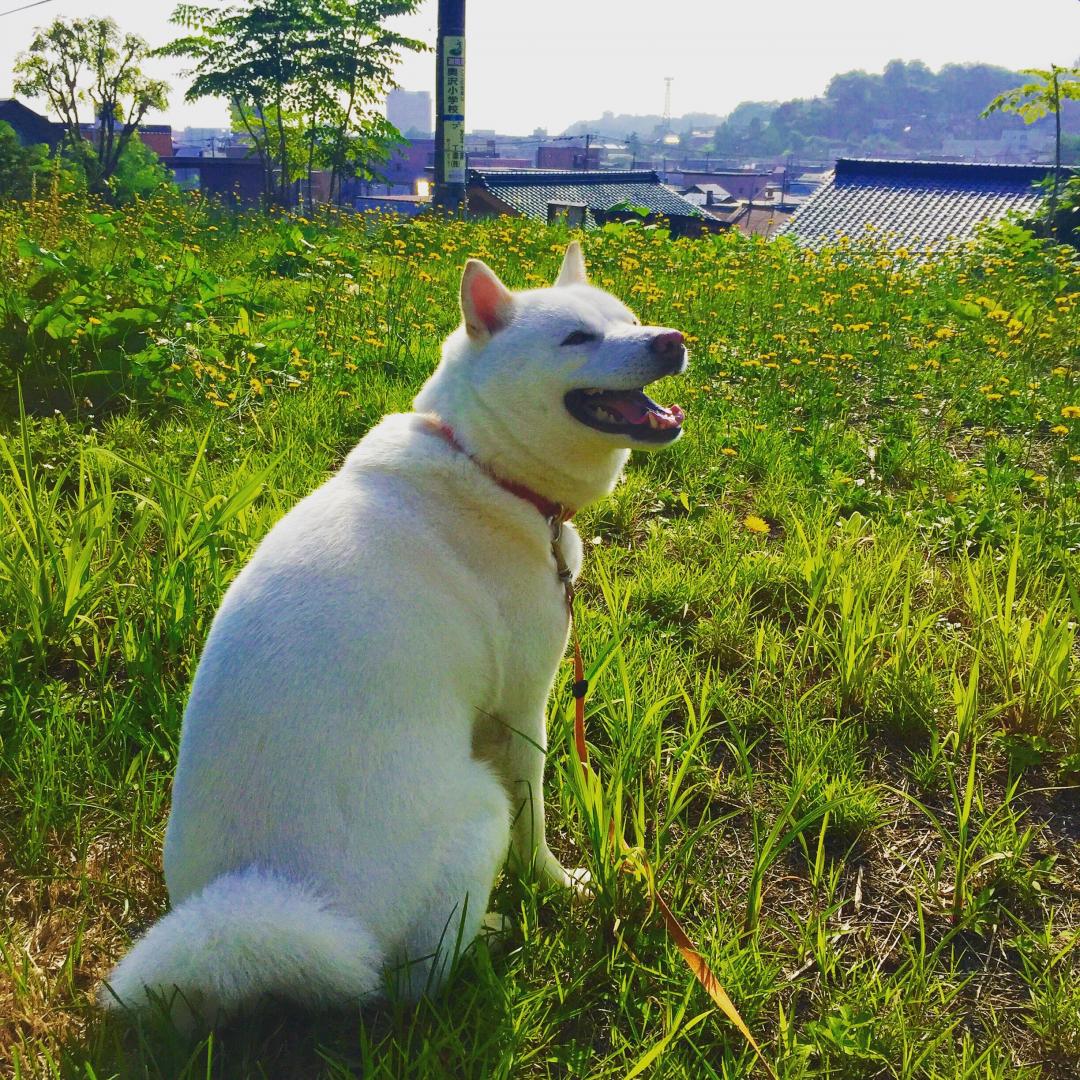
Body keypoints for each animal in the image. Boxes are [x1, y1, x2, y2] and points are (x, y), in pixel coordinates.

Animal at [105, 240, 686, 1023]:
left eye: (627, 317)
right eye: (576, 338)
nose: (671, 340)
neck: (485, 463)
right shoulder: (526, 706)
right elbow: (535, 816)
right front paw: (556, 884)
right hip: (476, 811)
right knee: (412, 978)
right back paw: (488, 935)